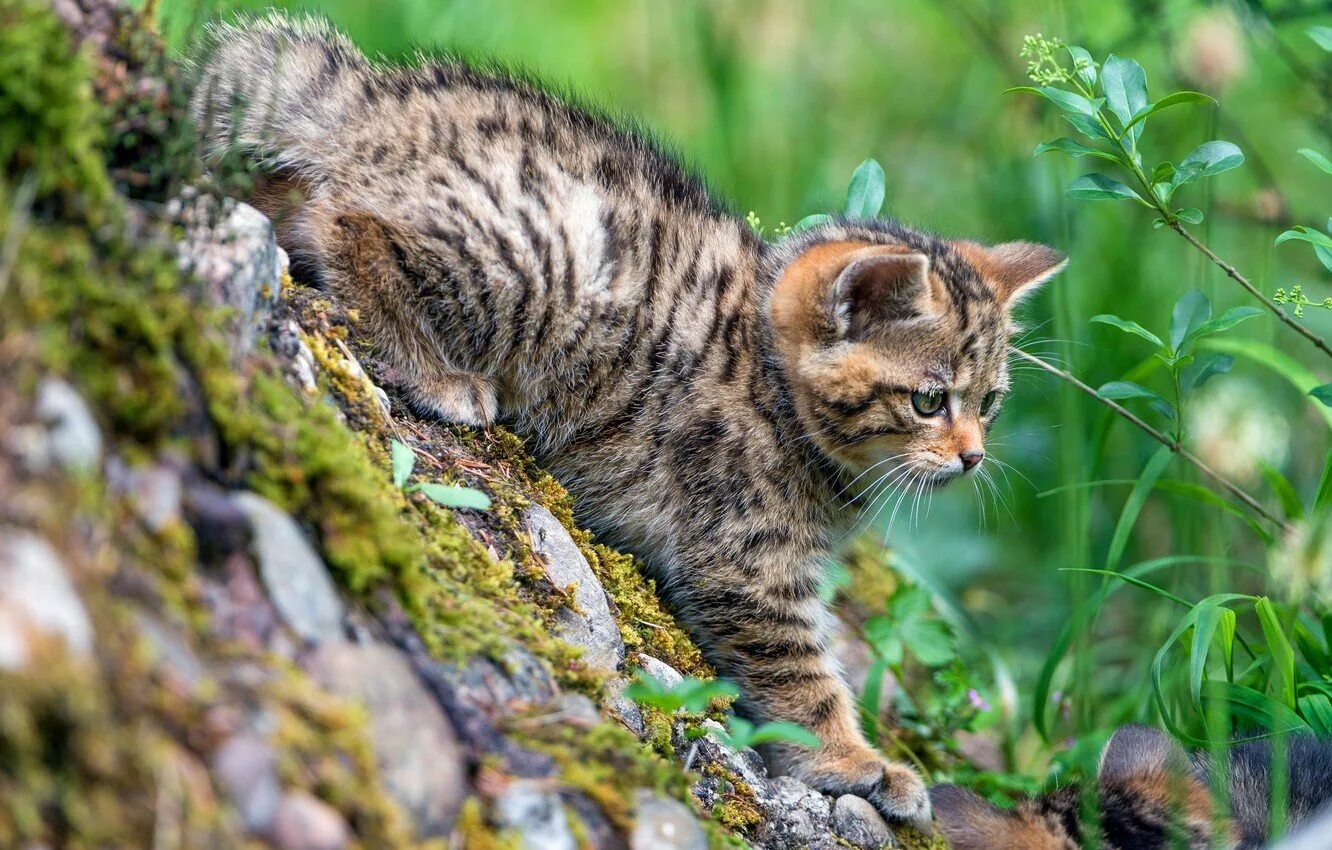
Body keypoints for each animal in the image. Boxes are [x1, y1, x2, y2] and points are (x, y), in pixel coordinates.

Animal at [193, 11, 1065, 826]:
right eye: (929, 400)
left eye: (989, 404)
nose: (973, 457)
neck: (770, 382)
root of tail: (371, 101)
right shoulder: (743, 556)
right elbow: (799, 672)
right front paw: (857, 761)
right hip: (538, 253)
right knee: (347, 221)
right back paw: (438, 372)